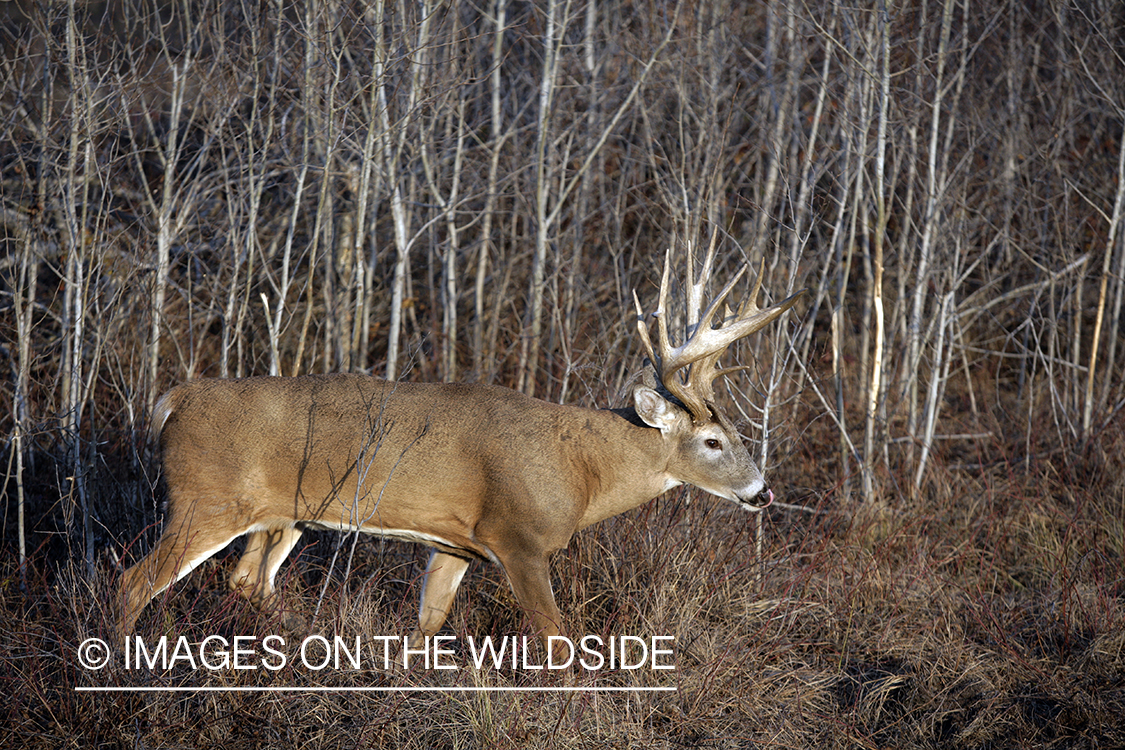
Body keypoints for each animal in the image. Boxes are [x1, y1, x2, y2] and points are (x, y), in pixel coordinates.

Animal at [118, 237, 805, 647]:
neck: (584, 471)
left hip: (282, 516)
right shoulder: (519, 537)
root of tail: (175, 400)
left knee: (246, 581)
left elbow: (427, 626)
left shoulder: (455, 543)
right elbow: (558, 642)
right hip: (205, 499)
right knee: (133, 583)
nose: (763, 492)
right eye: (713, 441)